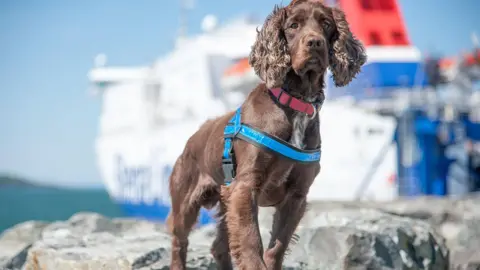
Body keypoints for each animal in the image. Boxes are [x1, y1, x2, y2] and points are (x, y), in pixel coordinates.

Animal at [167, 1, 366, 268]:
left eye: (326, 24)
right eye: (293, 25)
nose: (314, 42)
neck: (296, 103)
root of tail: (193, 138)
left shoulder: (296, 195)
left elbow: (276, 248)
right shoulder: (245, 187)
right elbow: (251, 242)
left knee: (219, 246)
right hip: (186, 201)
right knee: (180, 241)